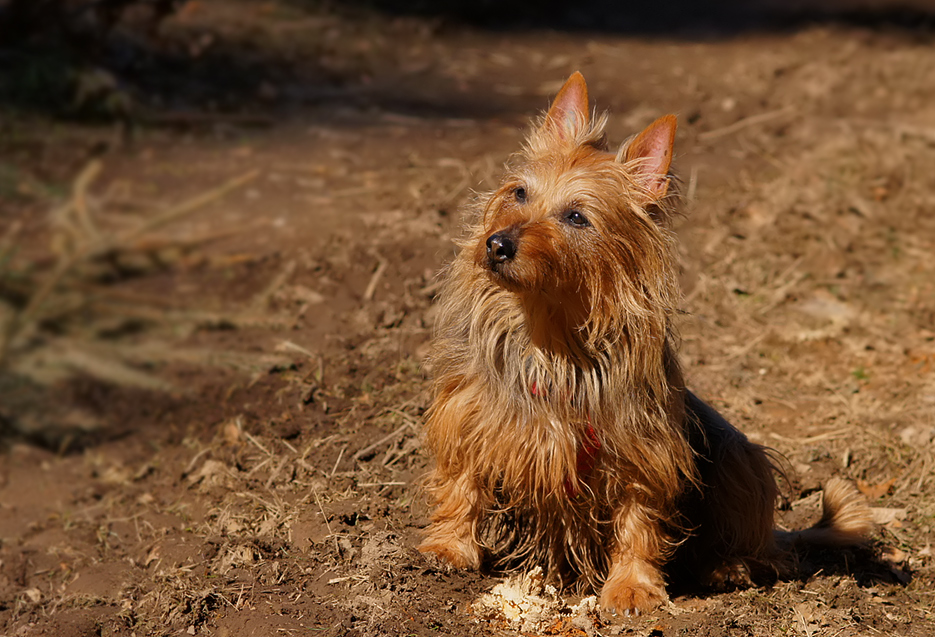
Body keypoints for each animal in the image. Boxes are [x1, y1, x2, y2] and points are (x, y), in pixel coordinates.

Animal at [420, 72, 872, 612]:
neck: (550, 339)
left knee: (762, 548)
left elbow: (638, 519)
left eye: (577, 217)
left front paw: (632, 587)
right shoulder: (467, 413)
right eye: (520, 192)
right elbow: (460, 482)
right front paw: (448, 547)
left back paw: (728, 566)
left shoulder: (643, 448)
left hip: (736, 457)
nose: (497, 244)